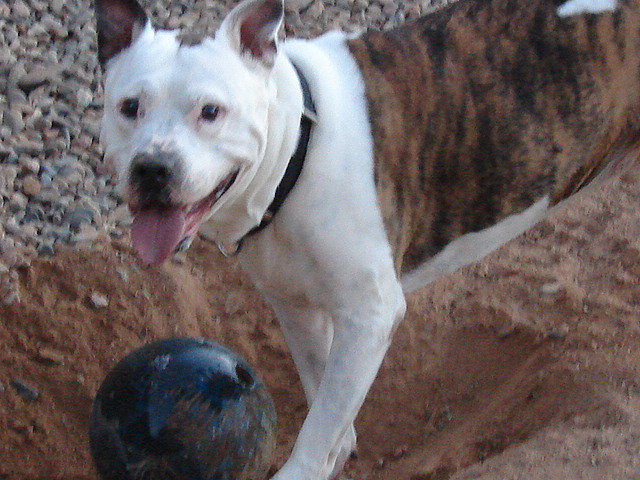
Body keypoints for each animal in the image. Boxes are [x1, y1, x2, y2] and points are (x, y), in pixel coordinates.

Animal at [95, 0, 640, 478]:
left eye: (211, 111)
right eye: (129, 107)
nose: (153, 167)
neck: (298, 147)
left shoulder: (370, 315)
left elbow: (321, 422)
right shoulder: (297, 308)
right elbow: (323, 393)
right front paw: (340, 451)